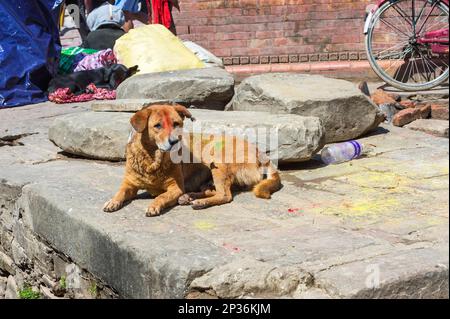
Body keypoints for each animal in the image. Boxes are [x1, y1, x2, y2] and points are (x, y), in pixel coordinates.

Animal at [104, 104, 284, 216]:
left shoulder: (175, 188)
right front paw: (112, 202)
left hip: (217, 162)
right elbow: (120, 193)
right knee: (214, 190)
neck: (152, 160)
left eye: (176, 123)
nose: (174, 141)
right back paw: (189, 197)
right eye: (157, 126)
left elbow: (161, 197)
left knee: (225, 195)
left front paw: (154, 205)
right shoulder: (129, 184)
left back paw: (199, 202)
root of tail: (261, 154)